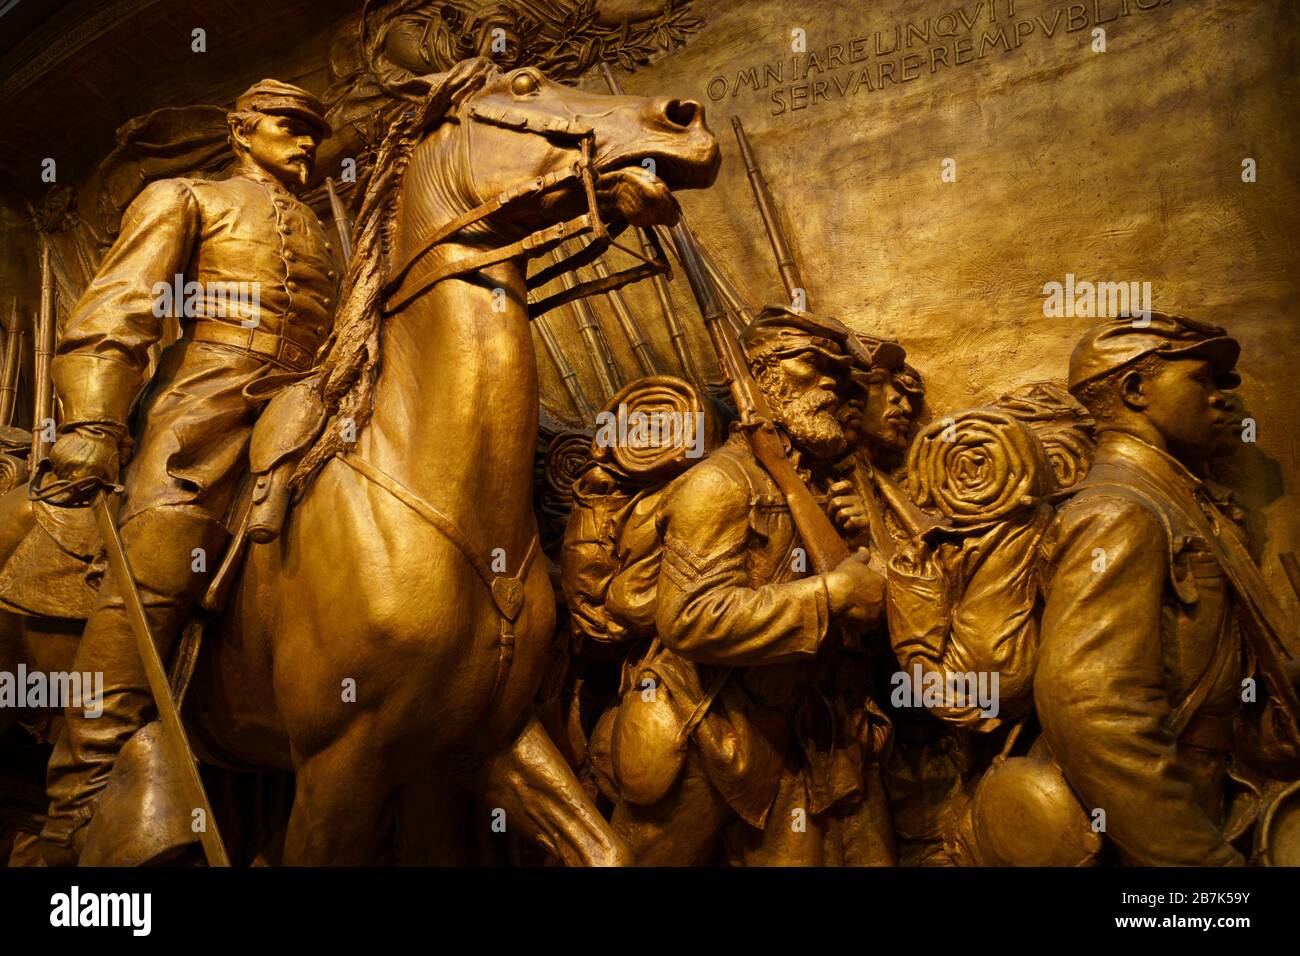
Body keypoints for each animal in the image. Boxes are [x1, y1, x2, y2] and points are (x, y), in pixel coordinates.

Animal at [0, 59, 722, 868]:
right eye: (526, 84)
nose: (684, 118)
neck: (423, 481)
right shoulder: (340, 765)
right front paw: (85, 452)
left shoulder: (488, 741)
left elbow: (603, 847)